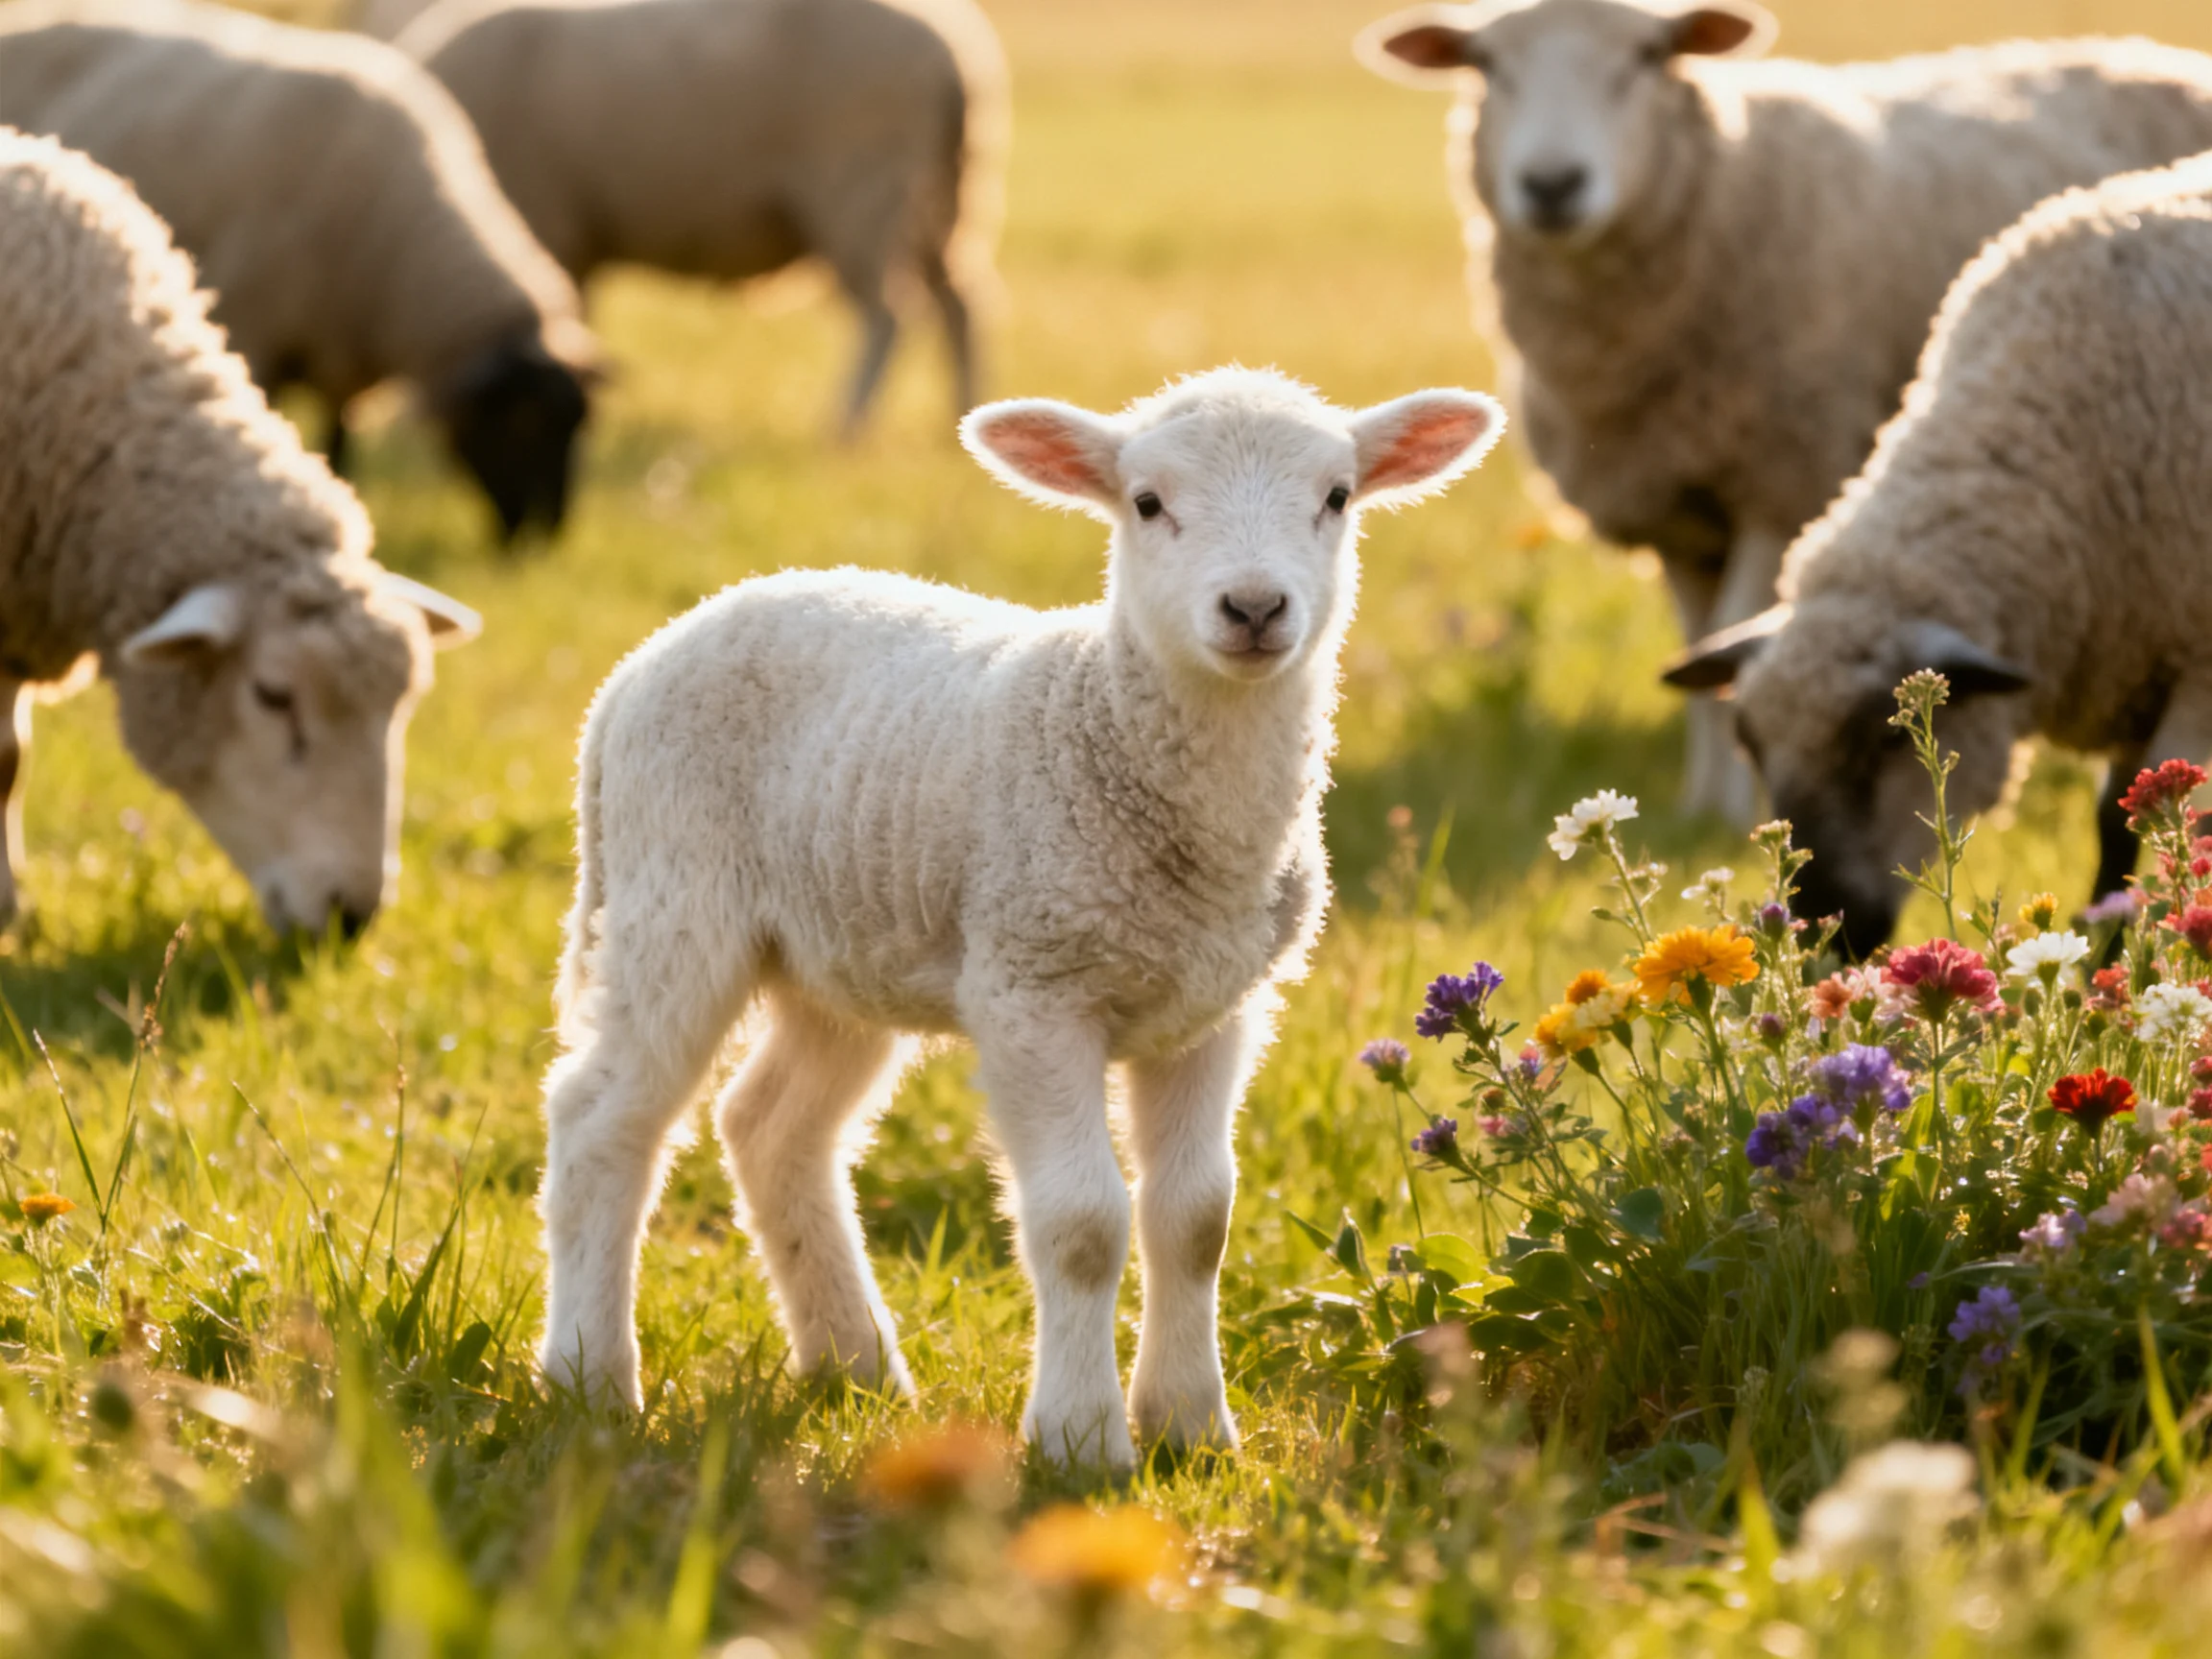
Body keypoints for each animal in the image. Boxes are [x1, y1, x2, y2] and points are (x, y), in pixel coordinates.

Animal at [0, 0, 599, 543]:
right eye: (524, 428)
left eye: (580, 426)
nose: (546, 535)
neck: (386, 224)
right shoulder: (256, 326)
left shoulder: (343, 348)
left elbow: (339, 438)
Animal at [395, 0, 1005, 436]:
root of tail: (955, 54)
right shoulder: (571, 241)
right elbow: (576, 325)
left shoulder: (546, 225)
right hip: (945, 193)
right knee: (962, 302)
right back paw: (960, 414)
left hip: (863, 190)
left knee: (890, 313)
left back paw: (846, 423)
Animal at [535, 368, 1502, 1463]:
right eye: (1147, 503)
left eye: (1337, 497)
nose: (1255, 606)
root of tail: (640, 667)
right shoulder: (1033, 988)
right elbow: (1082, 1224)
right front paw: (1080, 1441)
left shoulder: (1214, 1008)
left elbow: (1196, 1219)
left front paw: (1191, 1428)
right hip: (675, 896)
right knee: (603, 1119)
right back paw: (589, 1378)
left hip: (842, 945)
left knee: (771, 1126)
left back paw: (856, 1366)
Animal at [1356, 0, 2212, 823]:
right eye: (1486, 64)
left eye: (1647, 57)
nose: (1553, 185)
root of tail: (2154, 53)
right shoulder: (1674, 512)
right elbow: (1701, 645)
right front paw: (1700, 803)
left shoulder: (1780, 483)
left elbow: (1736, 626)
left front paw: (1731, 812)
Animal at [1662, 153, 2212, 956]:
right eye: (1752, 746)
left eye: (1885, 744)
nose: (1820, 937)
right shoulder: (2139, 662)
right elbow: (2118, 825)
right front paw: (2103, 948)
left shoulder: (2197, 667)